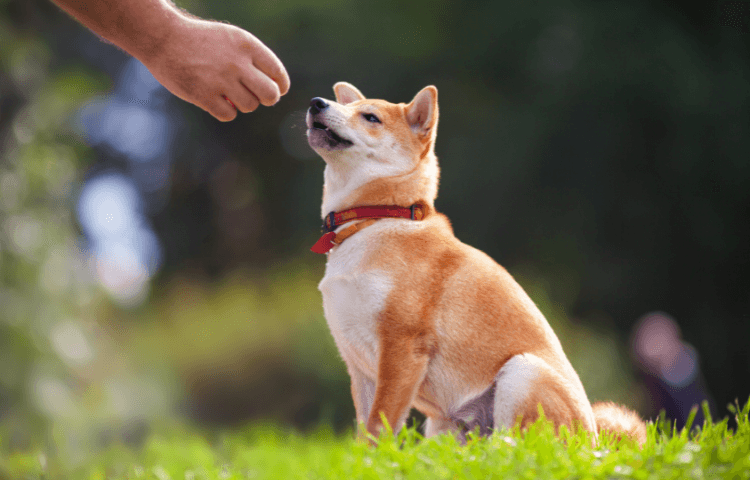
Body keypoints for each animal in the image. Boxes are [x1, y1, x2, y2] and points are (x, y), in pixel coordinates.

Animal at [306, 82, 648, 446]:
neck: (375, 219)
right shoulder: (359, 364)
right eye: (348, 107)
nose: (316, 103)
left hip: (522, 371)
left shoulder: (403, 348)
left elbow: (379, 425)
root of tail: (594, 441)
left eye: (371, 117)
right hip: (443, 426)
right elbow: (365, 429)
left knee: (518, 446)